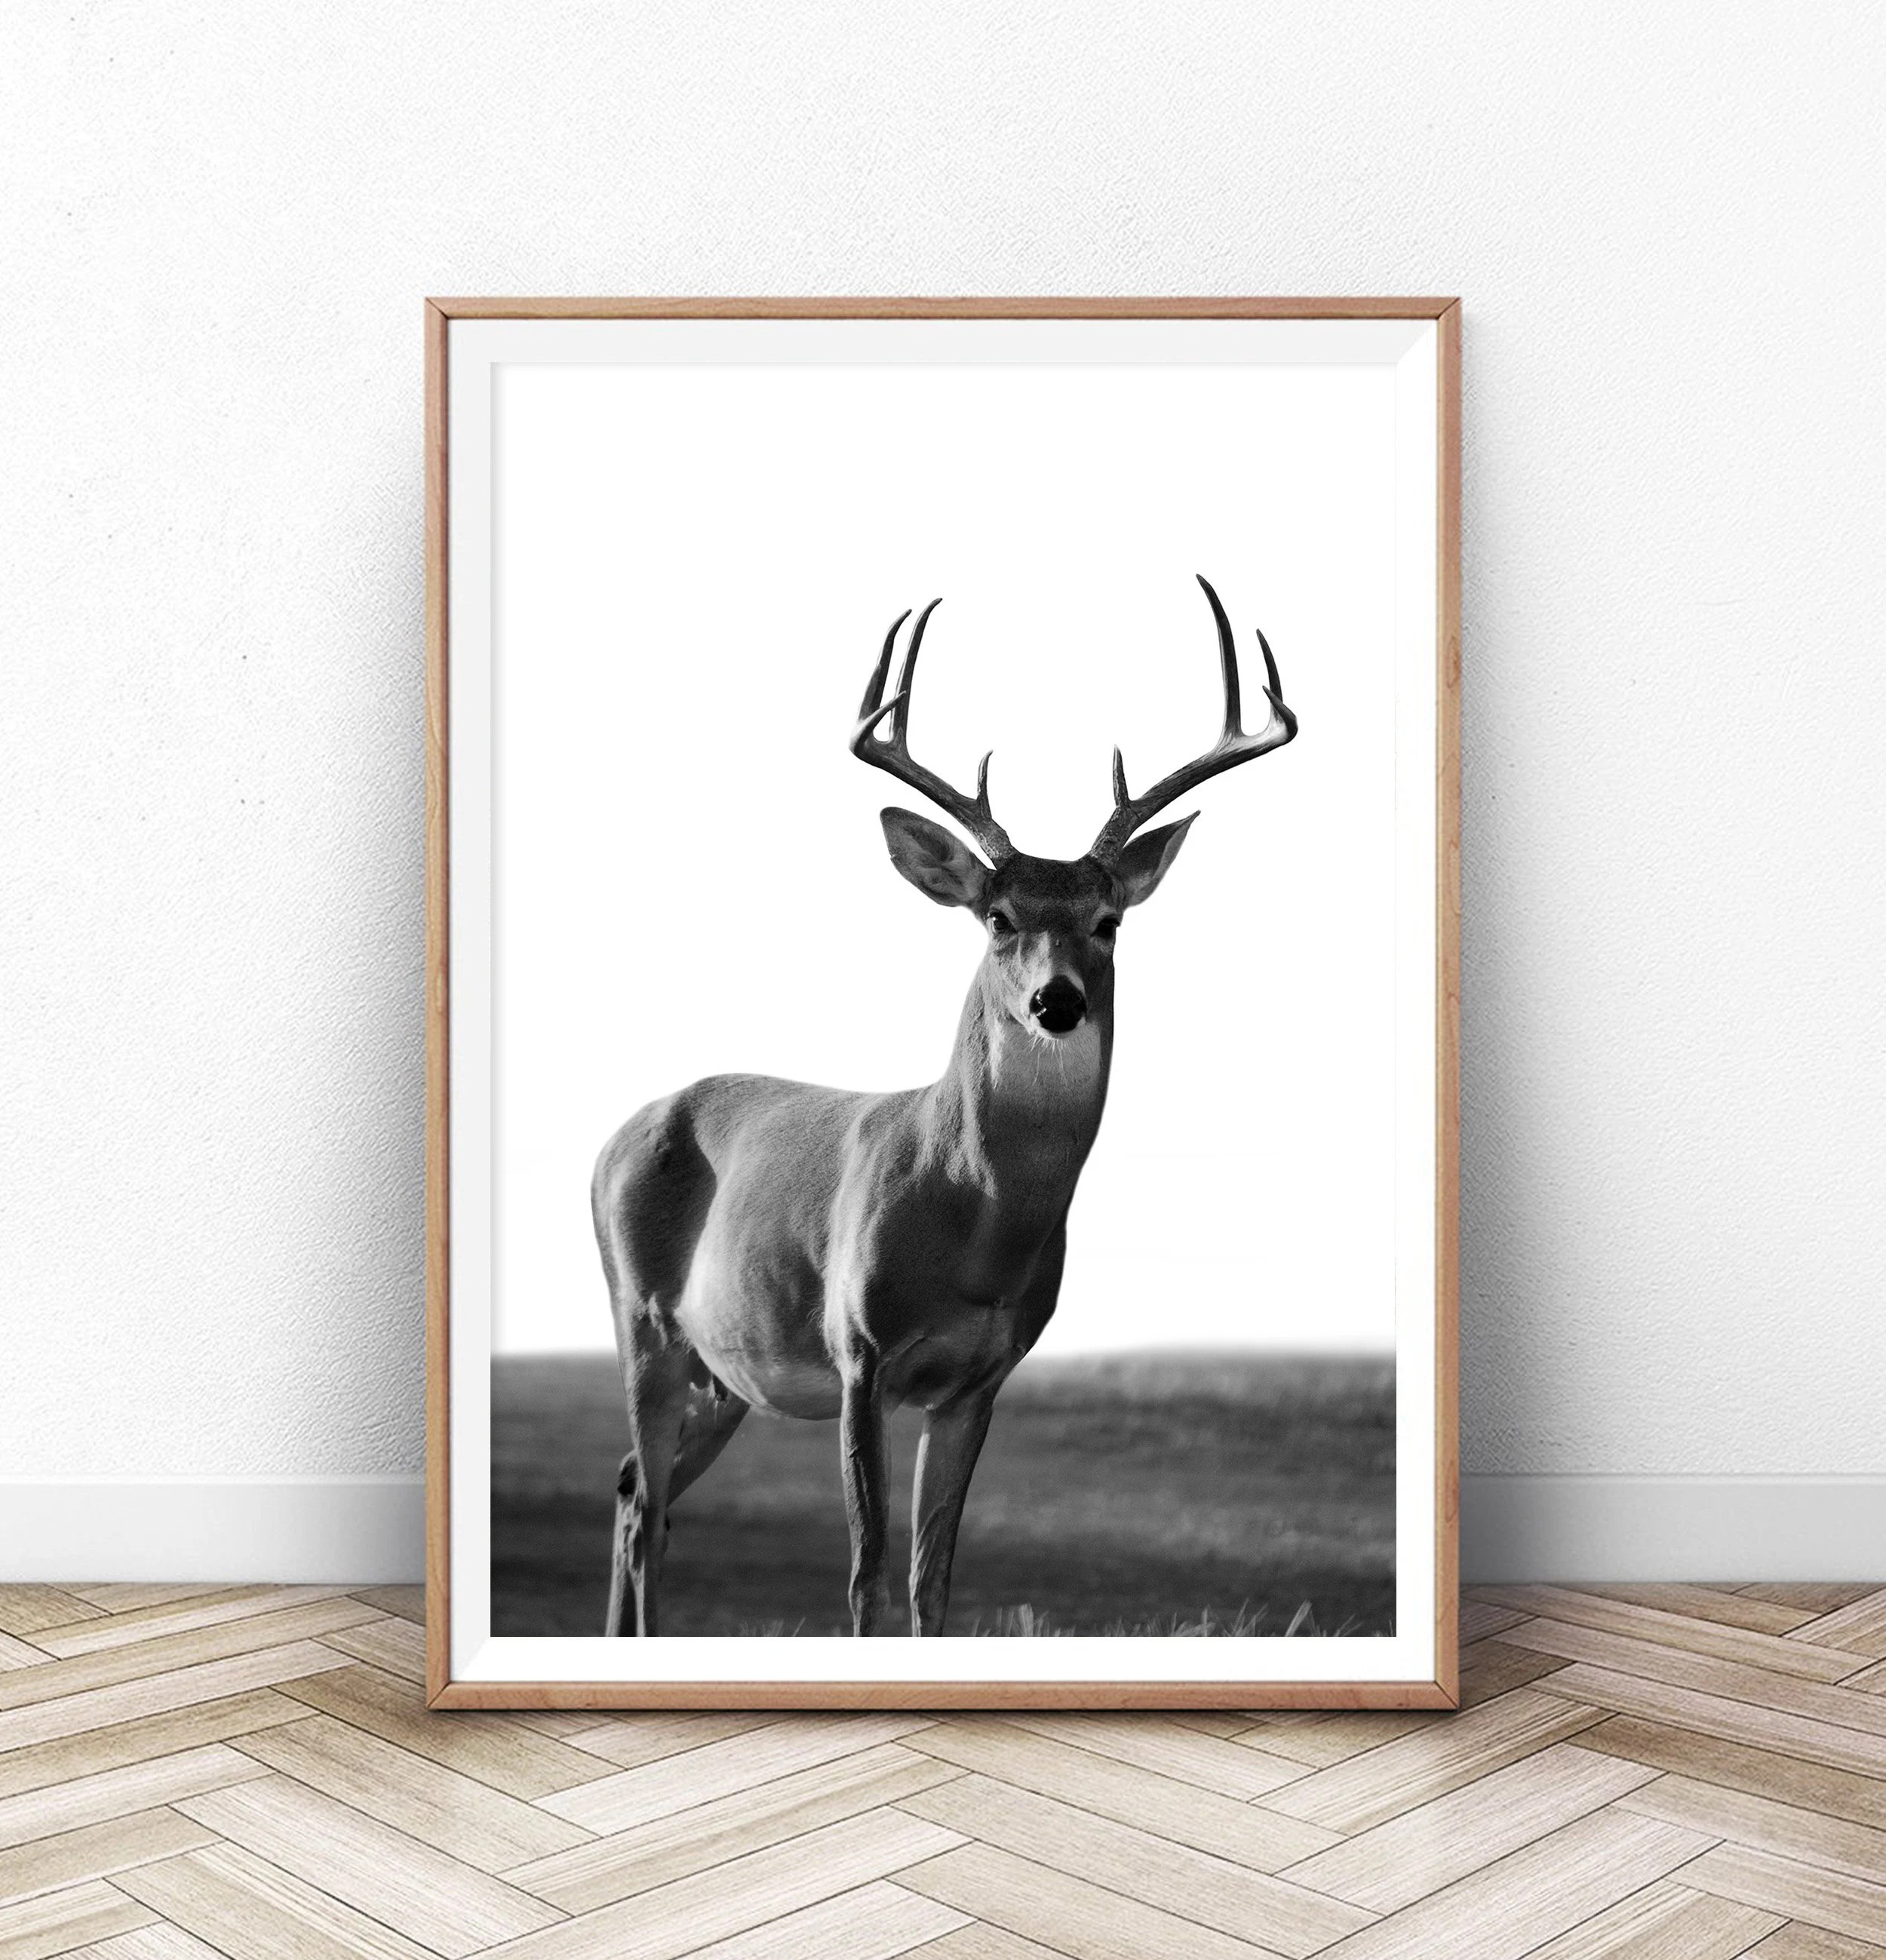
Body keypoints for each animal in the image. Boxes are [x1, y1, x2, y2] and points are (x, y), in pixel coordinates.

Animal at [593, 576, 1298, 1637]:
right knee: (644, 1505)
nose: (1057, 1001)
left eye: (1108, 921)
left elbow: (934, 1580)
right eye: (997, 918)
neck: (974, 1220)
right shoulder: (860, 1354)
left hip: (724, 1375)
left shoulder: (978, 1380)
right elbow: (866, 1574)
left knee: (639, 1492)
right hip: (642, 1321)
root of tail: (616, 1137)